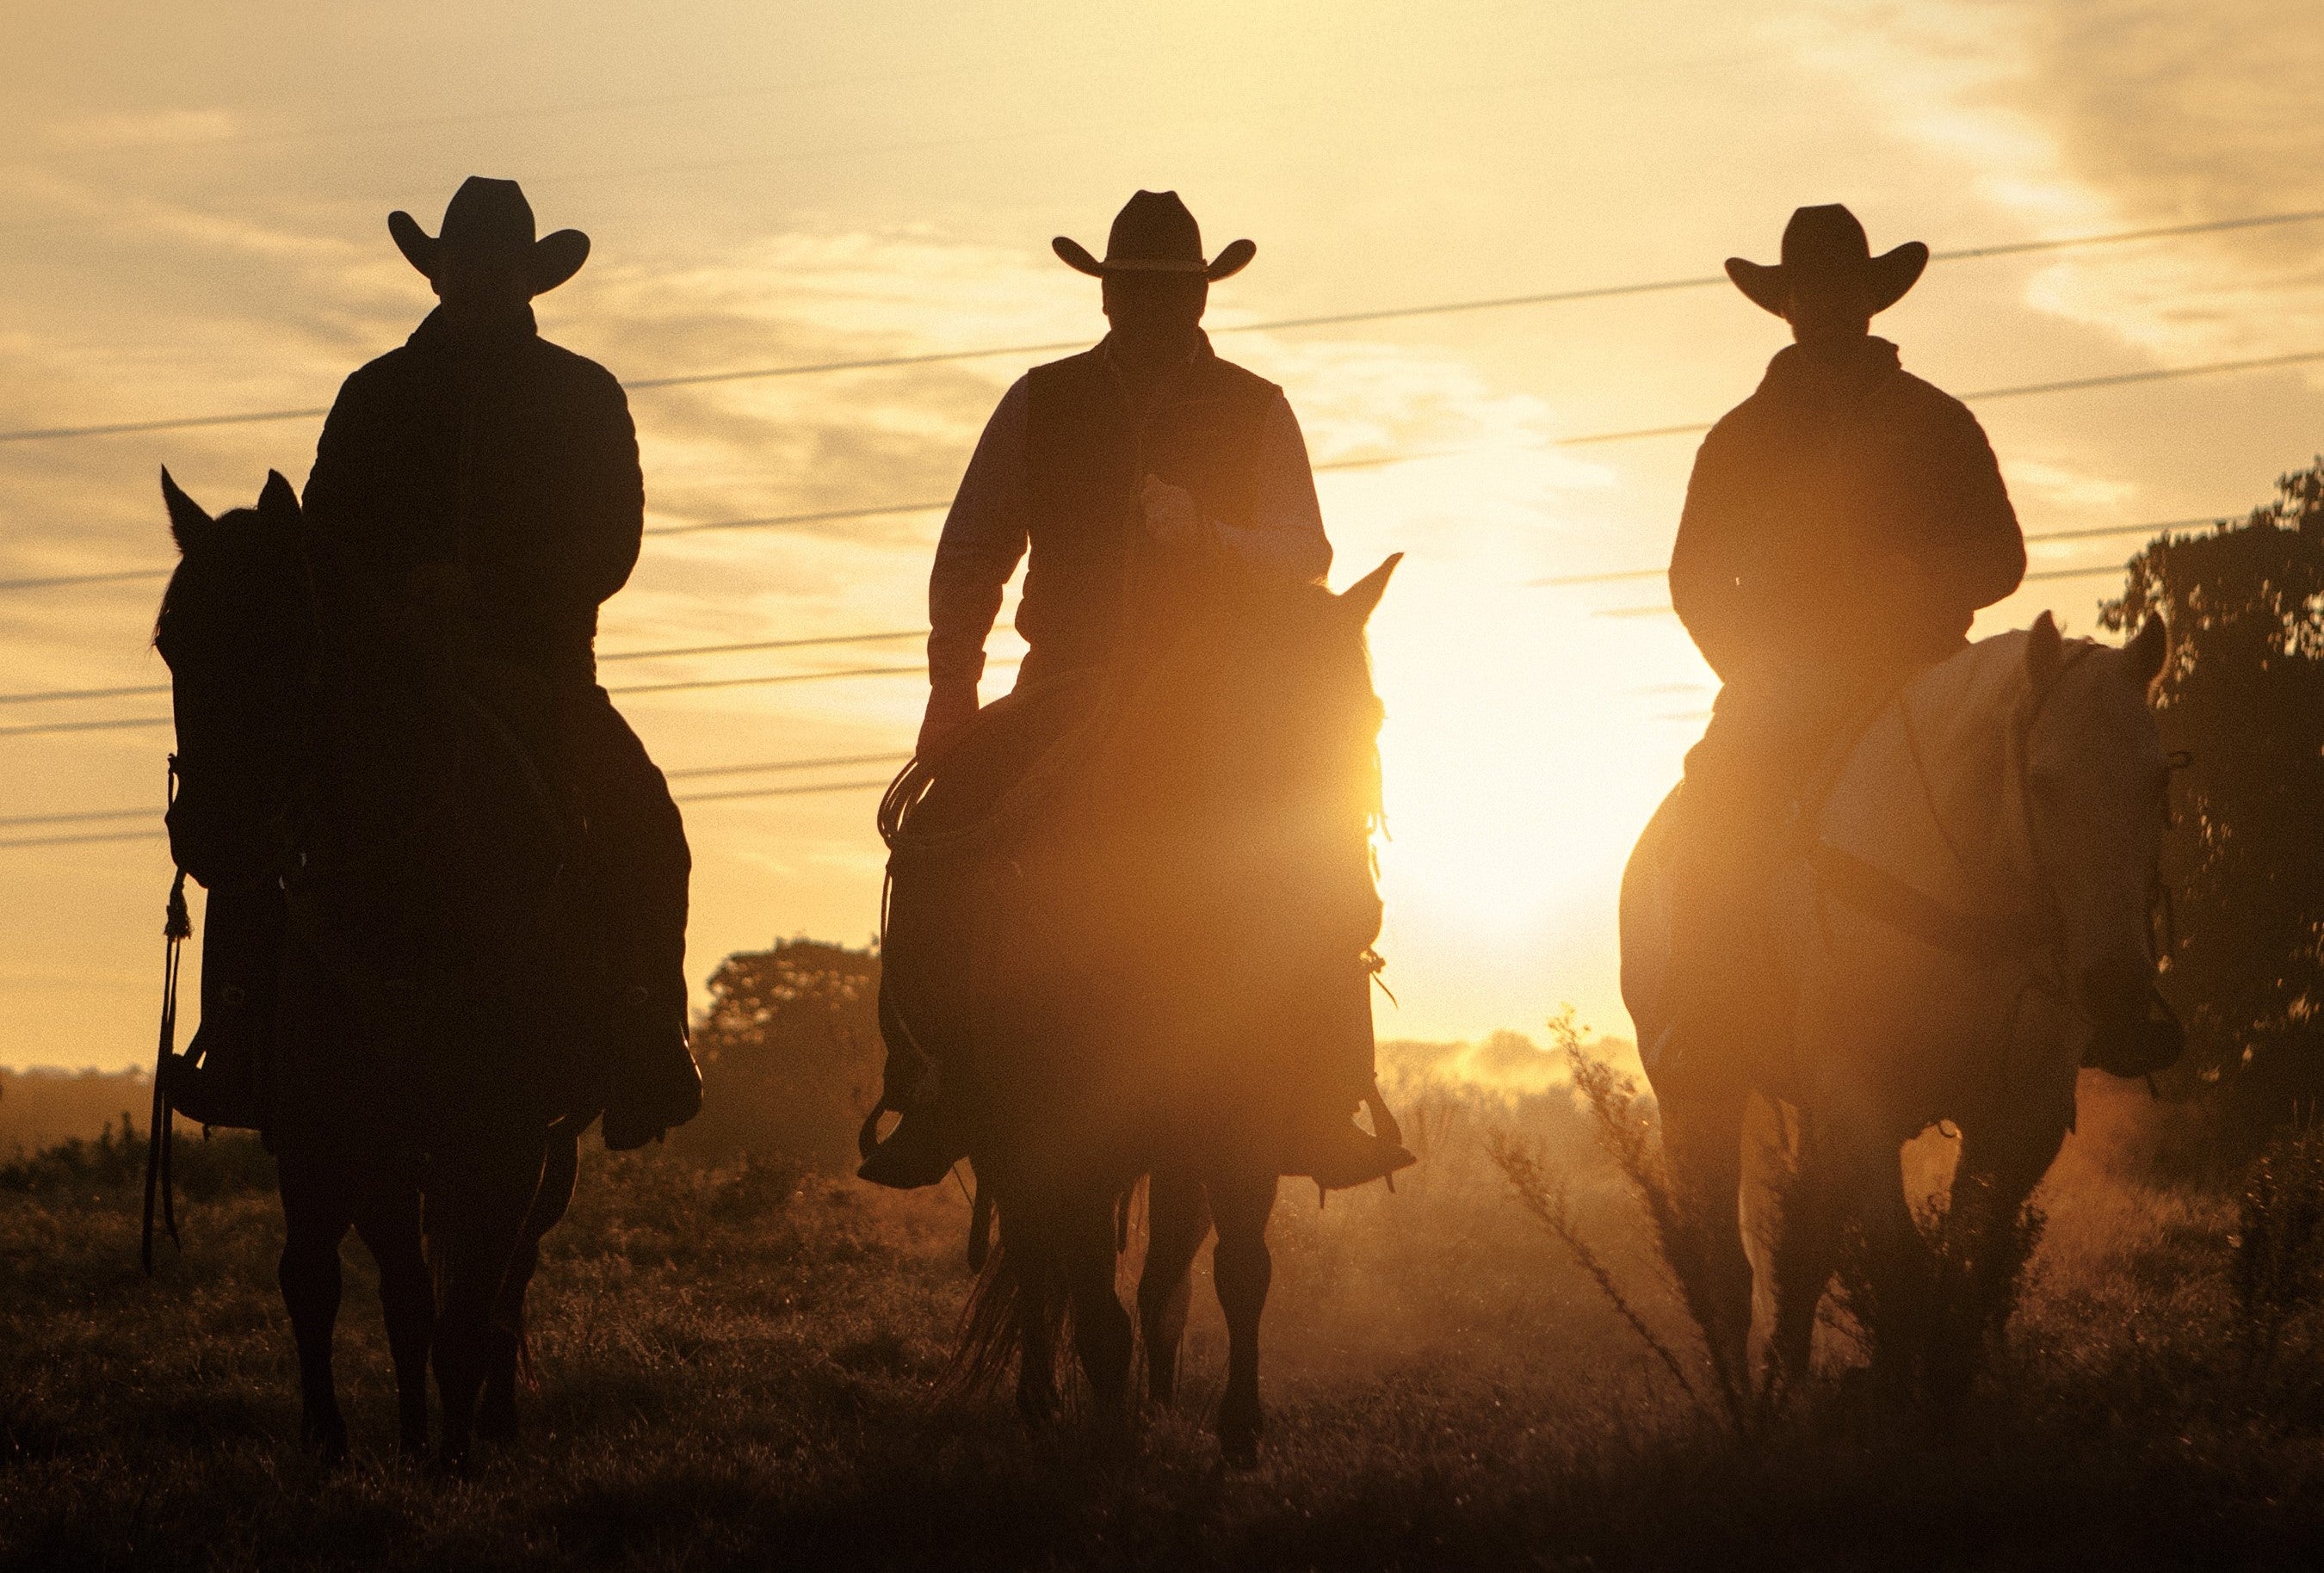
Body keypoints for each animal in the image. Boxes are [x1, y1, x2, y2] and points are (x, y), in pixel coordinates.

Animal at [154, 472, 604, 1468]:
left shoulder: (504, 1139)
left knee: (506, 1282)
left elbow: (469, 1309)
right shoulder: (334, 1131)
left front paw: (457, 1460)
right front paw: (344, 1441)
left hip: (543, 1151)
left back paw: (491, 1421)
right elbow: (353, 1290)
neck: (411, 889)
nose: (211, 833)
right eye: (170, 642)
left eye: (287, 636)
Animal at [901, 548, 1412, 1459]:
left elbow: (1237, 1273)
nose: (1342, 911)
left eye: (1372, 715)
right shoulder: (1068, 1135)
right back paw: (1044, 1399)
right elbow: (1091, 1302)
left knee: (1161, 1273)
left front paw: (1236, 1428)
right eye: (1242, 717)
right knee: (1038, 1255)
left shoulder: (1240, 1125)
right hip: (1010, 1137)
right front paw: (1108, 1433)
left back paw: (1159, 1397)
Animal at [1617, 613, 2175, 1403]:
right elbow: (1905, 1276)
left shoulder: (2022, 1117)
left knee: (1799, 1254)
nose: (2116, 986)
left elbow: (1963, 1282)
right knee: (1725, 1271)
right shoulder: (1857, 1103)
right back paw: (1747, 1410)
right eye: (2045, 782)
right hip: (1695, 1094)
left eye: (2158, 780)